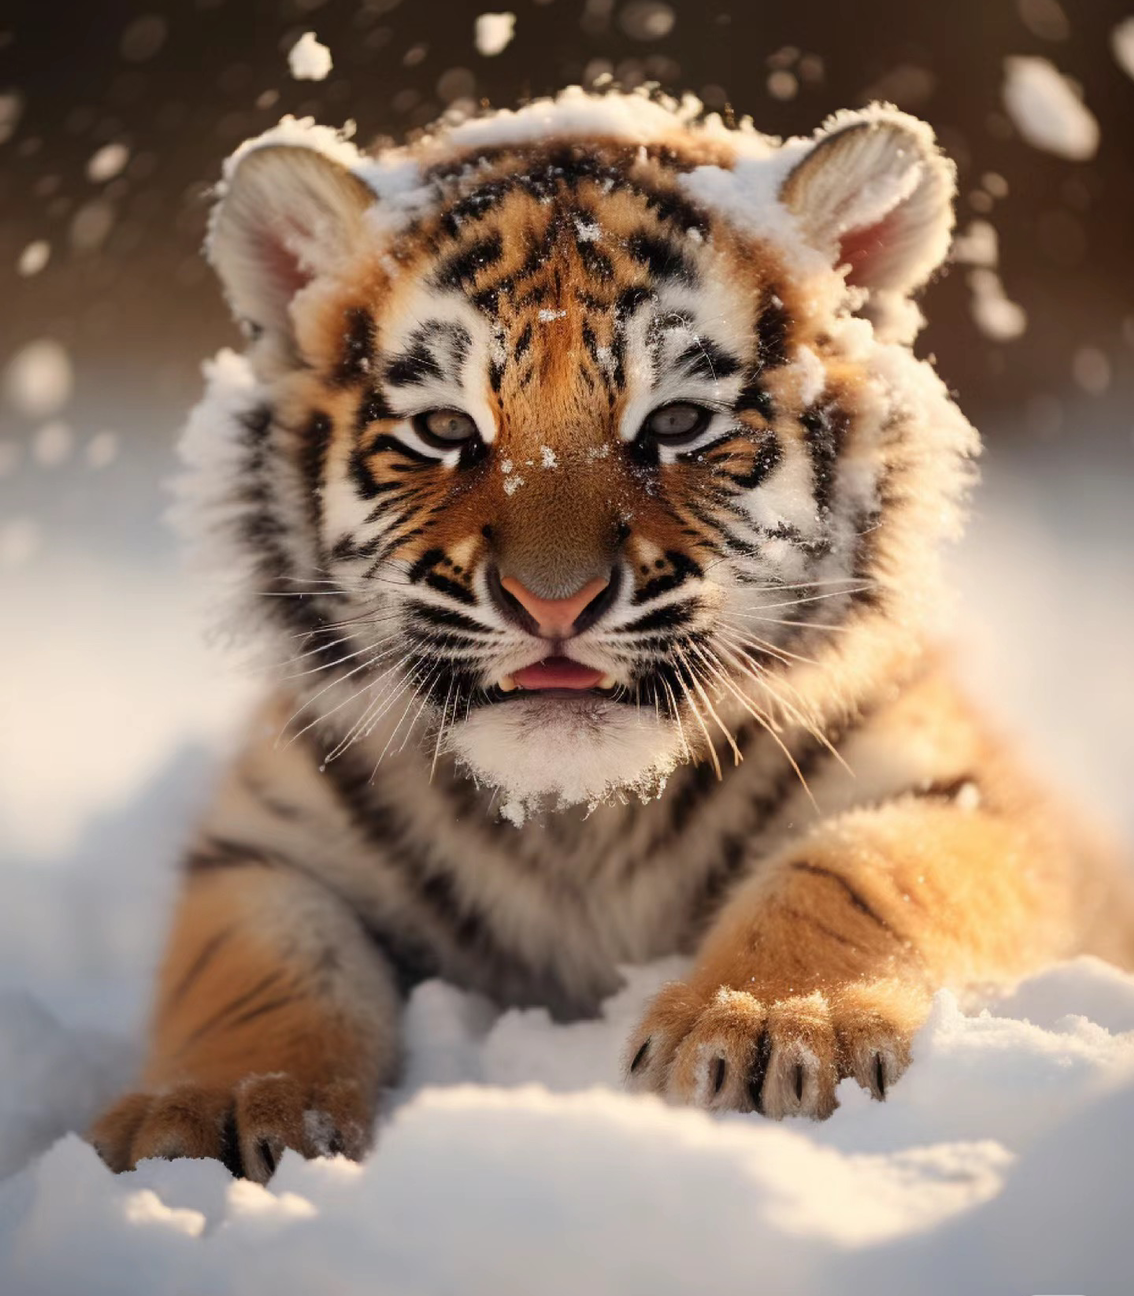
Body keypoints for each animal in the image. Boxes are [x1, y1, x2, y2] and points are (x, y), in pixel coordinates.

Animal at [89, 88, 1134, 1182]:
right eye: (446, 430)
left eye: (675, 424)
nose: (553, 602)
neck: (574, 821)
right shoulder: (270, 844)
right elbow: (254, 967)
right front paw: (208, 1108)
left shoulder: (971, 797)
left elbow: (857, 873)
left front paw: (769, 1026)